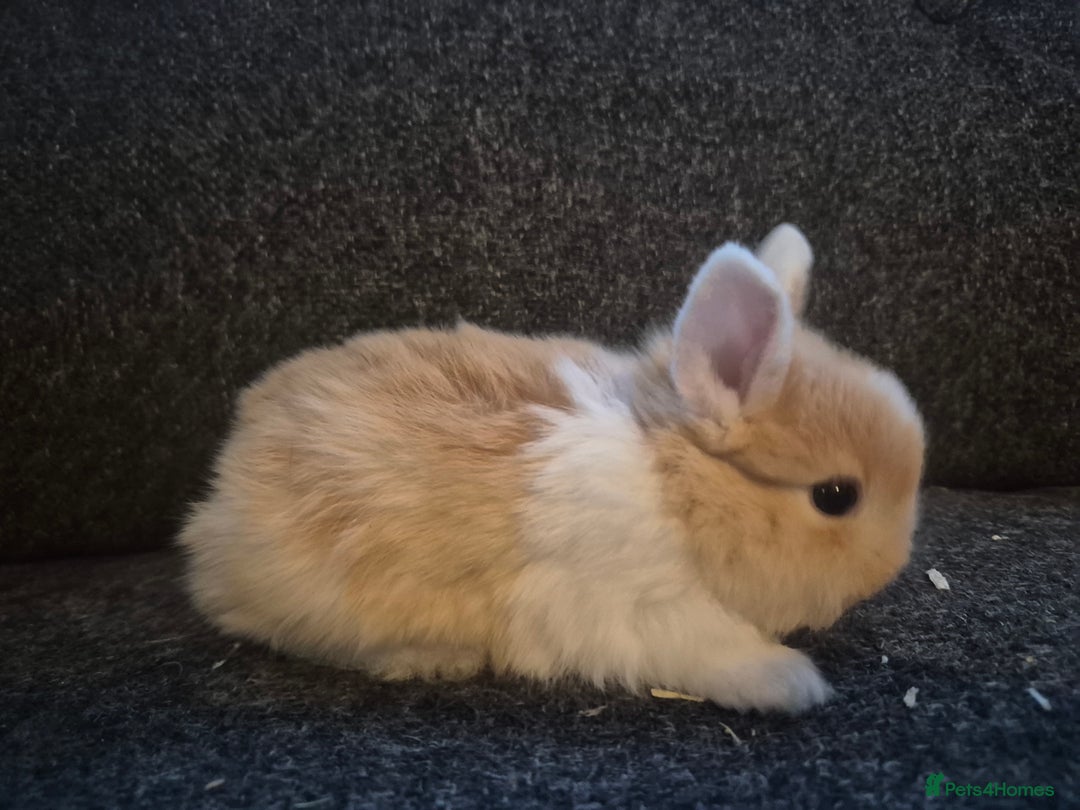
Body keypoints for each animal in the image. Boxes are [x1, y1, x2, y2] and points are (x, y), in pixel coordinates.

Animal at [179, 223, 925, 713]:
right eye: (836, 496)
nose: (889, 571)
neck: (678, 484)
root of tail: (218, 491)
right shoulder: (638, 610)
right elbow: (714, 647)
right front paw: (793, 682)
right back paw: (431, 658)